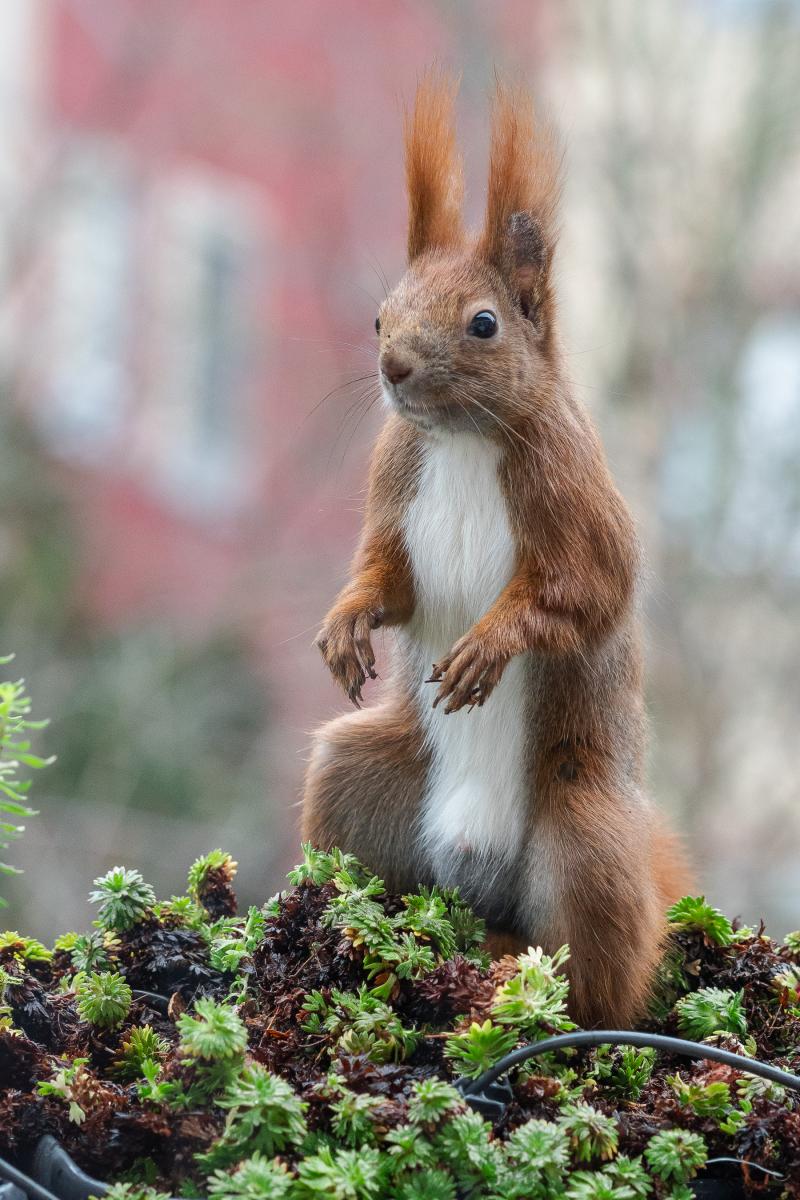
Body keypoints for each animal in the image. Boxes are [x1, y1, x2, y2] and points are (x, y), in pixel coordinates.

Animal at [303, 72, 690, 1022]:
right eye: (379, 317)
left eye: (484, 325)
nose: (395, 368)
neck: (465, 439)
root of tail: (474, 882)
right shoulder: (395, 484)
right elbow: (388, 579)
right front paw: (346, 622)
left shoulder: (576, 497)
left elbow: (585, 592)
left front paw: (492, 641)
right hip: (358, 778)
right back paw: (355, 920)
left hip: (583, 832)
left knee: (594, 986)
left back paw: (521, 973)